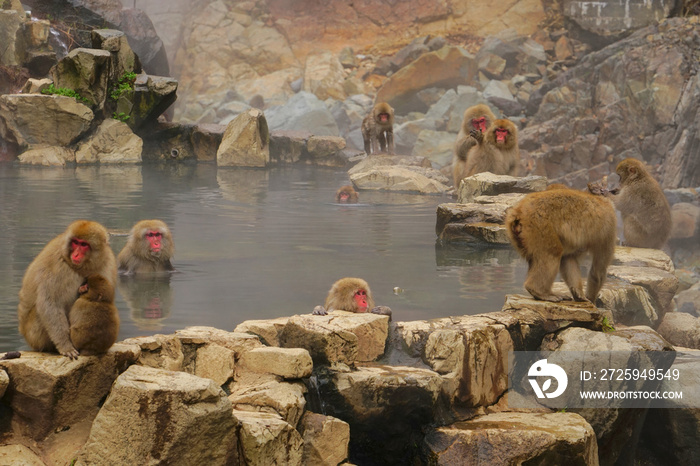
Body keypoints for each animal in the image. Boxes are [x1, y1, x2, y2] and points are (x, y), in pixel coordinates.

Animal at [17, 220, 116, 358]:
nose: (76, 254)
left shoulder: (107, 262)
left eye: (84, 244)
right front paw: (65, 346)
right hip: (34, 336)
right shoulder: (56, 266)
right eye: (75, 242)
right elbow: (50, 303)